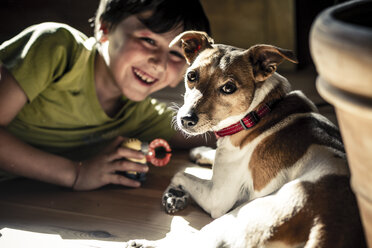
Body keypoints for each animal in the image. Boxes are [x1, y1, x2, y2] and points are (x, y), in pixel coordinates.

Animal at [126, 31, 364, 248]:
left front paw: (174, 193)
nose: (185, 119)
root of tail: (326, 224)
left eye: (228, 88)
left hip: (234, 219)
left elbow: (180, 173)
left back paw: (143, 243)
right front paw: (200, 153)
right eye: (191, 76)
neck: (258, 112)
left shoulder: (217, 196)